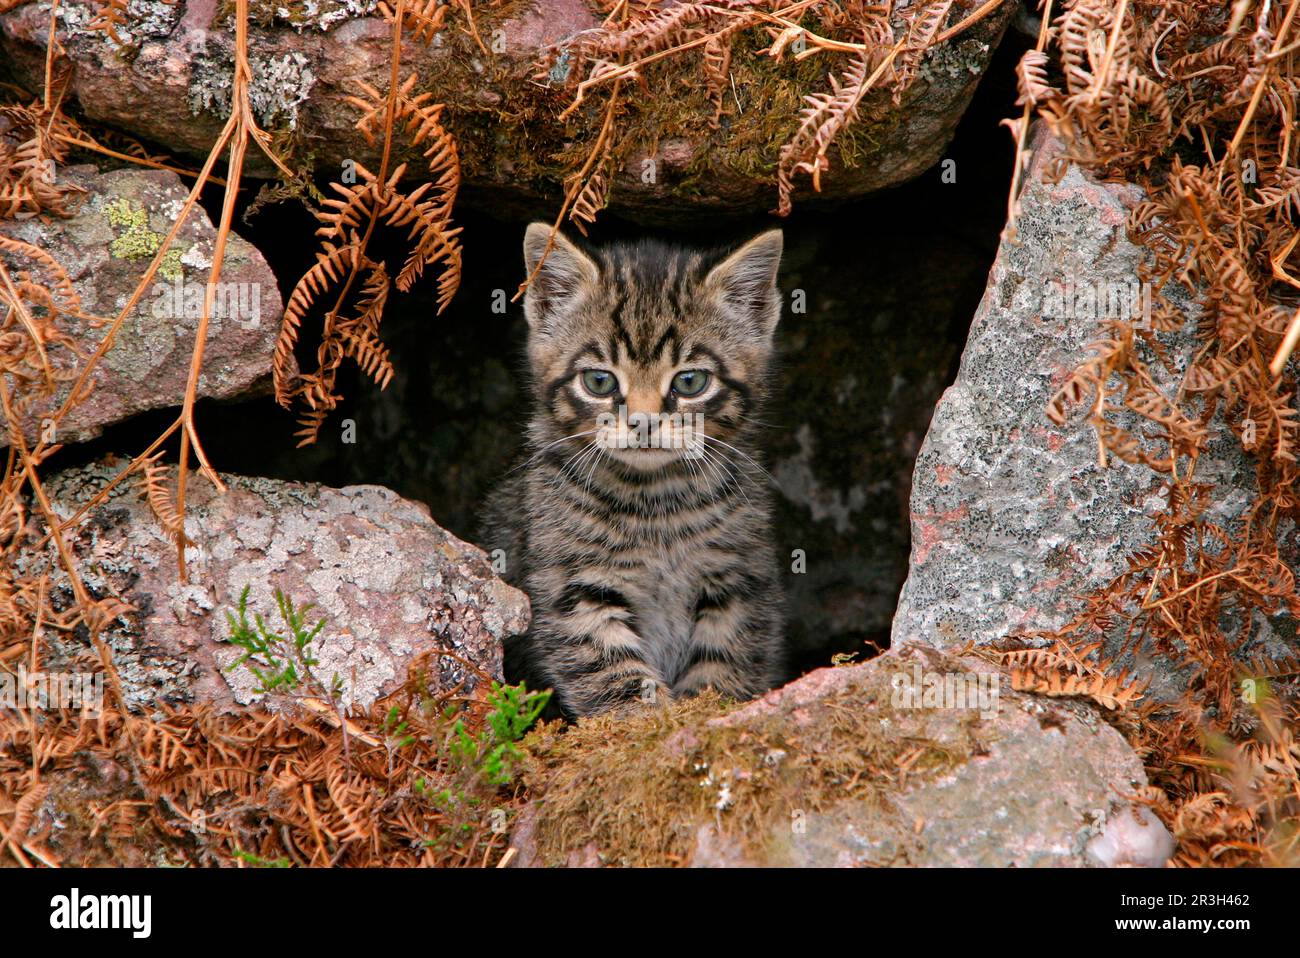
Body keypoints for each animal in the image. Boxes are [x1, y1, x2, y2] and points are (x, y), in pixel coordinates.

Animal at [483, 222, 785, 717]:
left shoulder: (739, 580)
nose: (643, 422)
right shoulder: (572, 584)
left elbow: (725, 662)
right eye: (599, 381)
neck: (654, 500)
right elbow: (609, 669)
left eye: (690, 381)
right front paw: (646, 719)